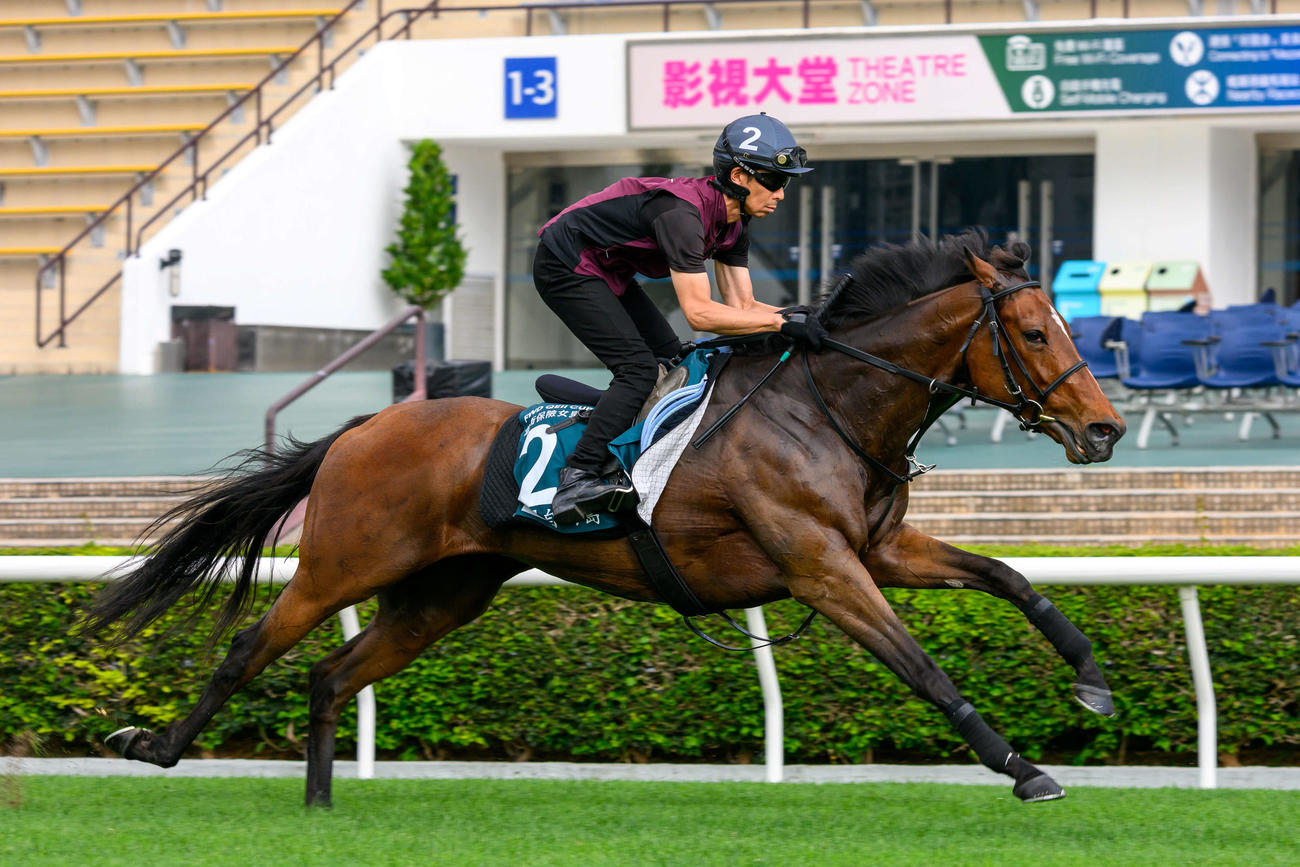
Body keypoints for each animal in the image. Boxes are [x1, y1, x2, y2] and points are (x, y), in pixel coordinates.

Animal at [83, 229, 1125, 807]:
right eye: (1037, 333)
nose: (1105, 428)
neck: (828, 404)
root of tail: (366, 425)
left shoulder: (879, 545)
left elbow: (1013, 579)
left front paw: (1091, 681)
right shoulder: (822, 566)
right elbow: (922, 666)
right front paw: (1021, 765)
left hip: (446, 592)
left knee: (330, 675)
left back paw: (319, 802)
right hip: (344, 563)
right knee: (250, 646)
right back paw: (157, 746)